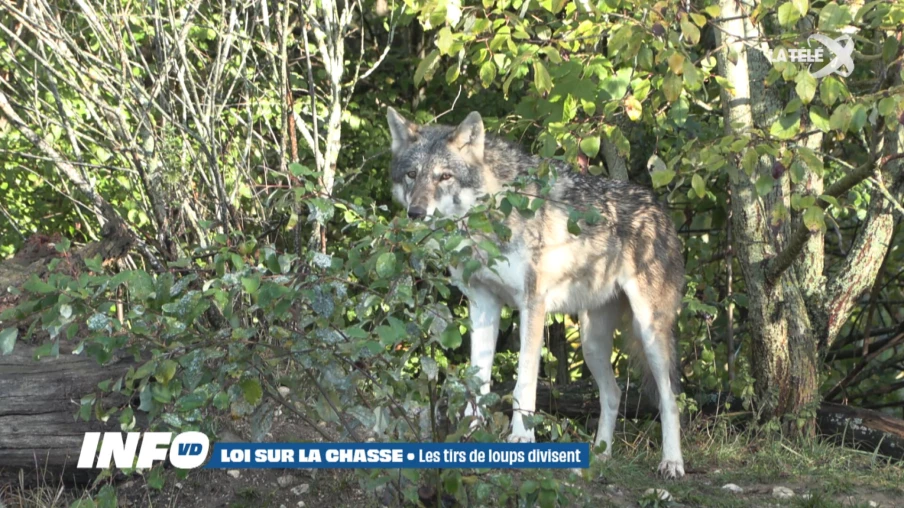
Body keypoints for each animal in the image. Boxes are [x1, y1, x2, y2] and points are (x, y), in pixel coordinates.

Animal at [386, 108, 686, 478]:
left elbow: (523, 382)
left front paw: (520, 439)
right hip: (591, 343)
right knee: (614, 393)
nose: (416, 212)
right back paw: (600, 456)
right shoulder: (483, 303)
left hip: (649, 333)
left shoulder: (532, 306)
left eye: (444, 176)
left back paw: (672, 462)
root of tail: (660, 210)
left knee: (670, 399)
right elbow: (478, 381)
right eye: (412, 175)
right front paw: (470, 436)